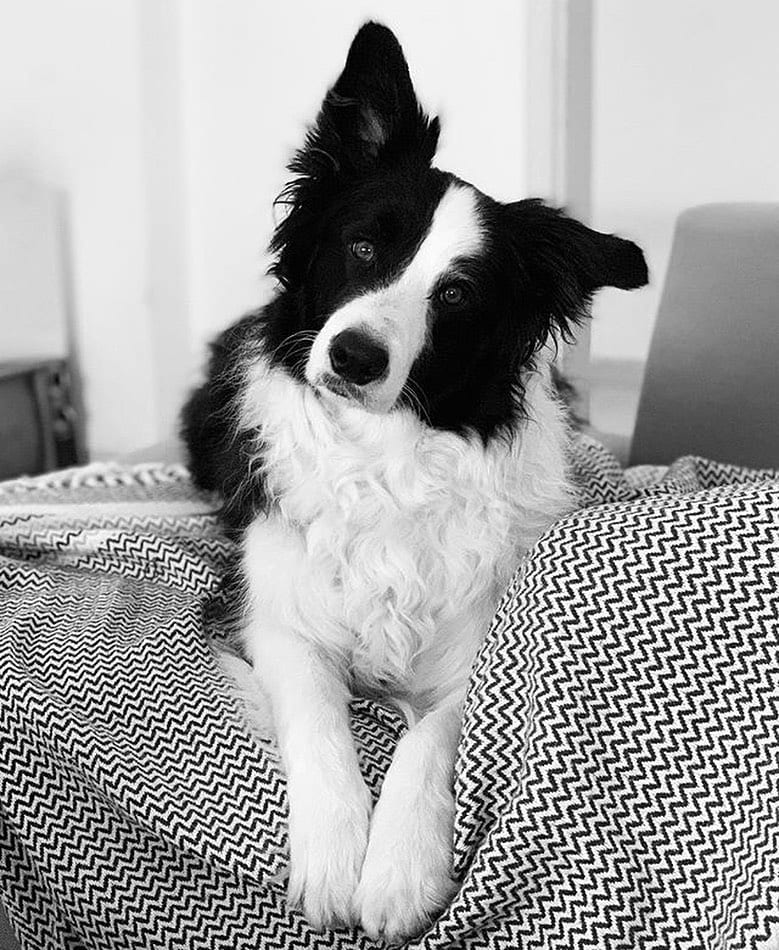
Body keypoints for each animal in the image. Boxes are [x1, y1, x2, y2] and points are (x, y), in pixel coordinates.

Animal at [181, 22, 644, 944]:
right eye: (362, 246)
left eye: (458, 294)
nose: (355, 357)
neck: (383, 456)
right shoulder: (272, 616)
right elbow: (320, 718)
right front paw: (333, 859)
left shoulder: (470, 649)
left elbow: (431, 744)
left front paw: (396, 871)